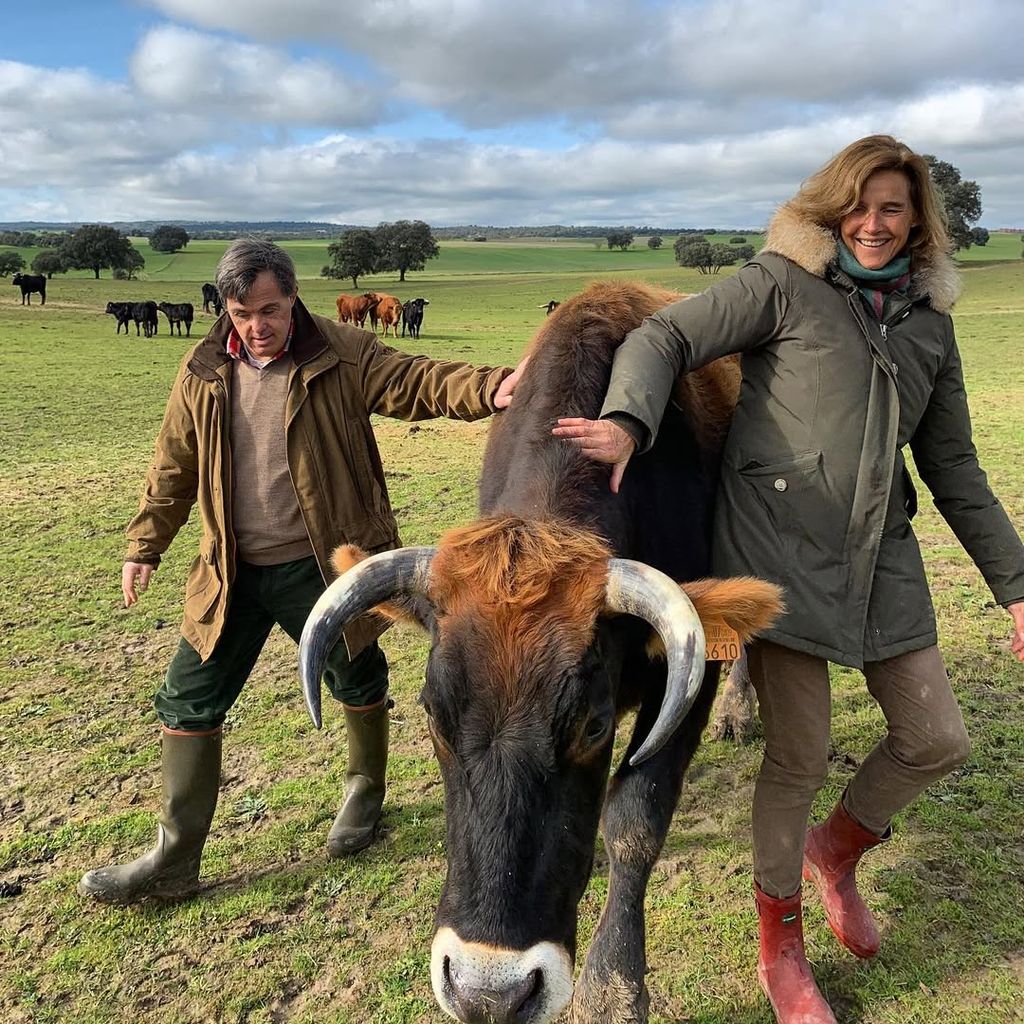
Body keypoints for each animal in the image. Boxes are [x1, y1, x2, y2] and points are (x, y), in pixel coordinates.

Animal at [299, 280, 778, 1024]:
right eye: (432, 714)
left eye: (592, 725)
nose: (488, 994)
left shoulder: (688, 674)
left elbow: (636, 818)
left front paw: (614, 988)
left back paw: (742, 713)